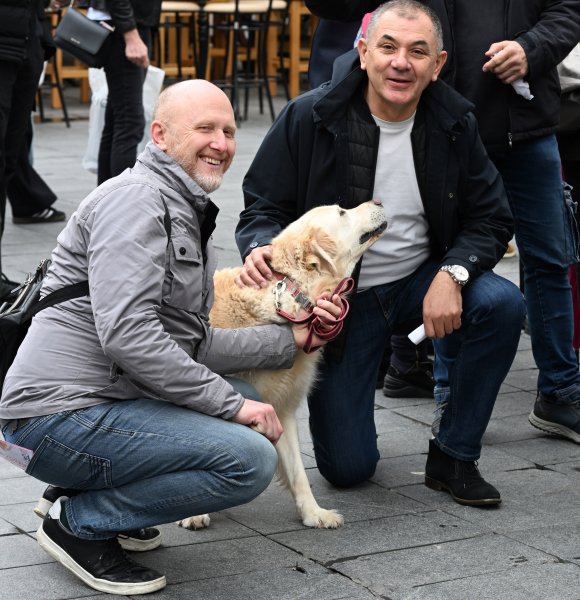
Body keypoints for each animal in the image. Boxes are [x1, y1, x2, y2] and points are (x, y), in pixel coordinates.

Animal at [179, 203, 388, 528]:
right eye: (342, 212)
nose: (378, 202)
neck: (291, 294)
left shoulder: (281, 409)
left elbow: (297, 471)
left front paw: (314, 513)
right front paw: (194, 512)